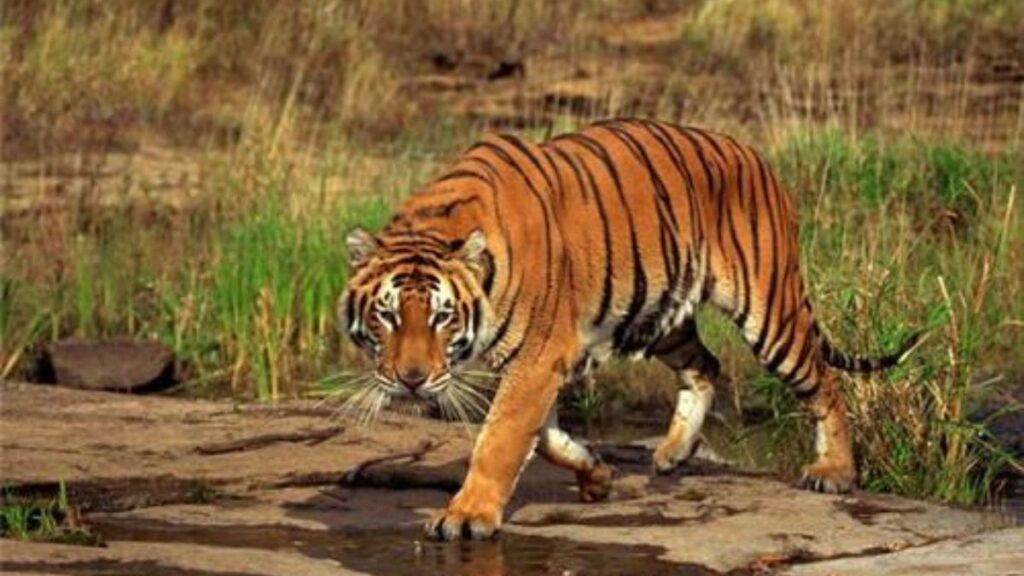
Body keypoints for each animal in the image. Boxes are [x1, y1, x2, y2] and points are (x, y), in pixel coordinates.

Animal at [338, 118, 918, 541]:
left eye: (442, 316)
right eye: (387, 315)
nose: (412, 380)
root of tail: (756, 155)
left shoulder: (538, 355)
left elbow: (500, 438)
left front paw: (466, 515)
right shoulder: (543, 360)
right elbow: (544, 437)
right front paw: (596, 475)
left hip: (770, 311)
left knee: (825, 382)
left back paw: (834, 471)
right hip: (660, 315)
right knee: (706, 365)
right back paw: (672, 453)